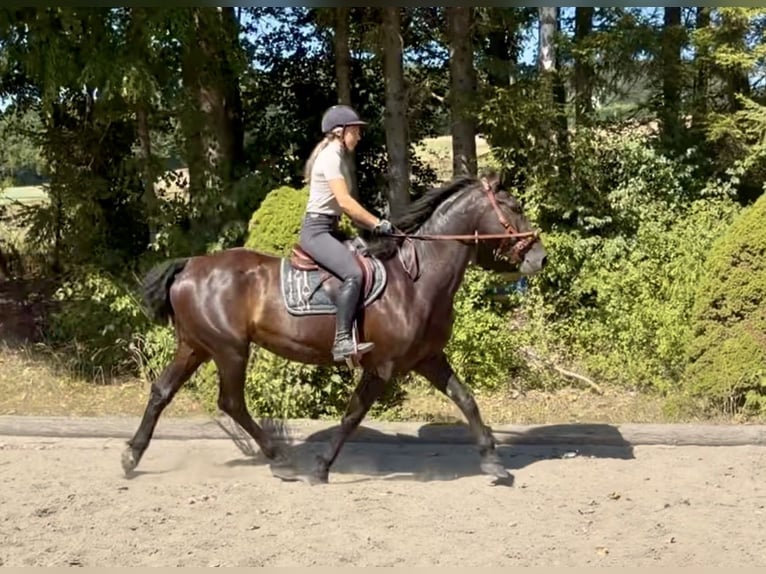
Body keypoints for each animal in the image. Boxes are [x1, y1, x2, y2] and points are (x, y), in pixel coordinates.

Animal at [123, 171, 547, 484]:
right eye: (514, 206)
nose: (540, 257)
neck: (417, 278)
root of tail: (190, 265)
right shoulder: (382, 367)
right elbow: (352, 415)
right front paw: (321, 467)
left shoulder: (428, 358)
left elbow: (466, 399)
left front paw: (493, 462)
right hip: (229, 350)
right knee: (231, 403)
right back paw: (281, 461)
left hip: (196, 346)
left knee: (162, 391)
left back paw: (132, 455)